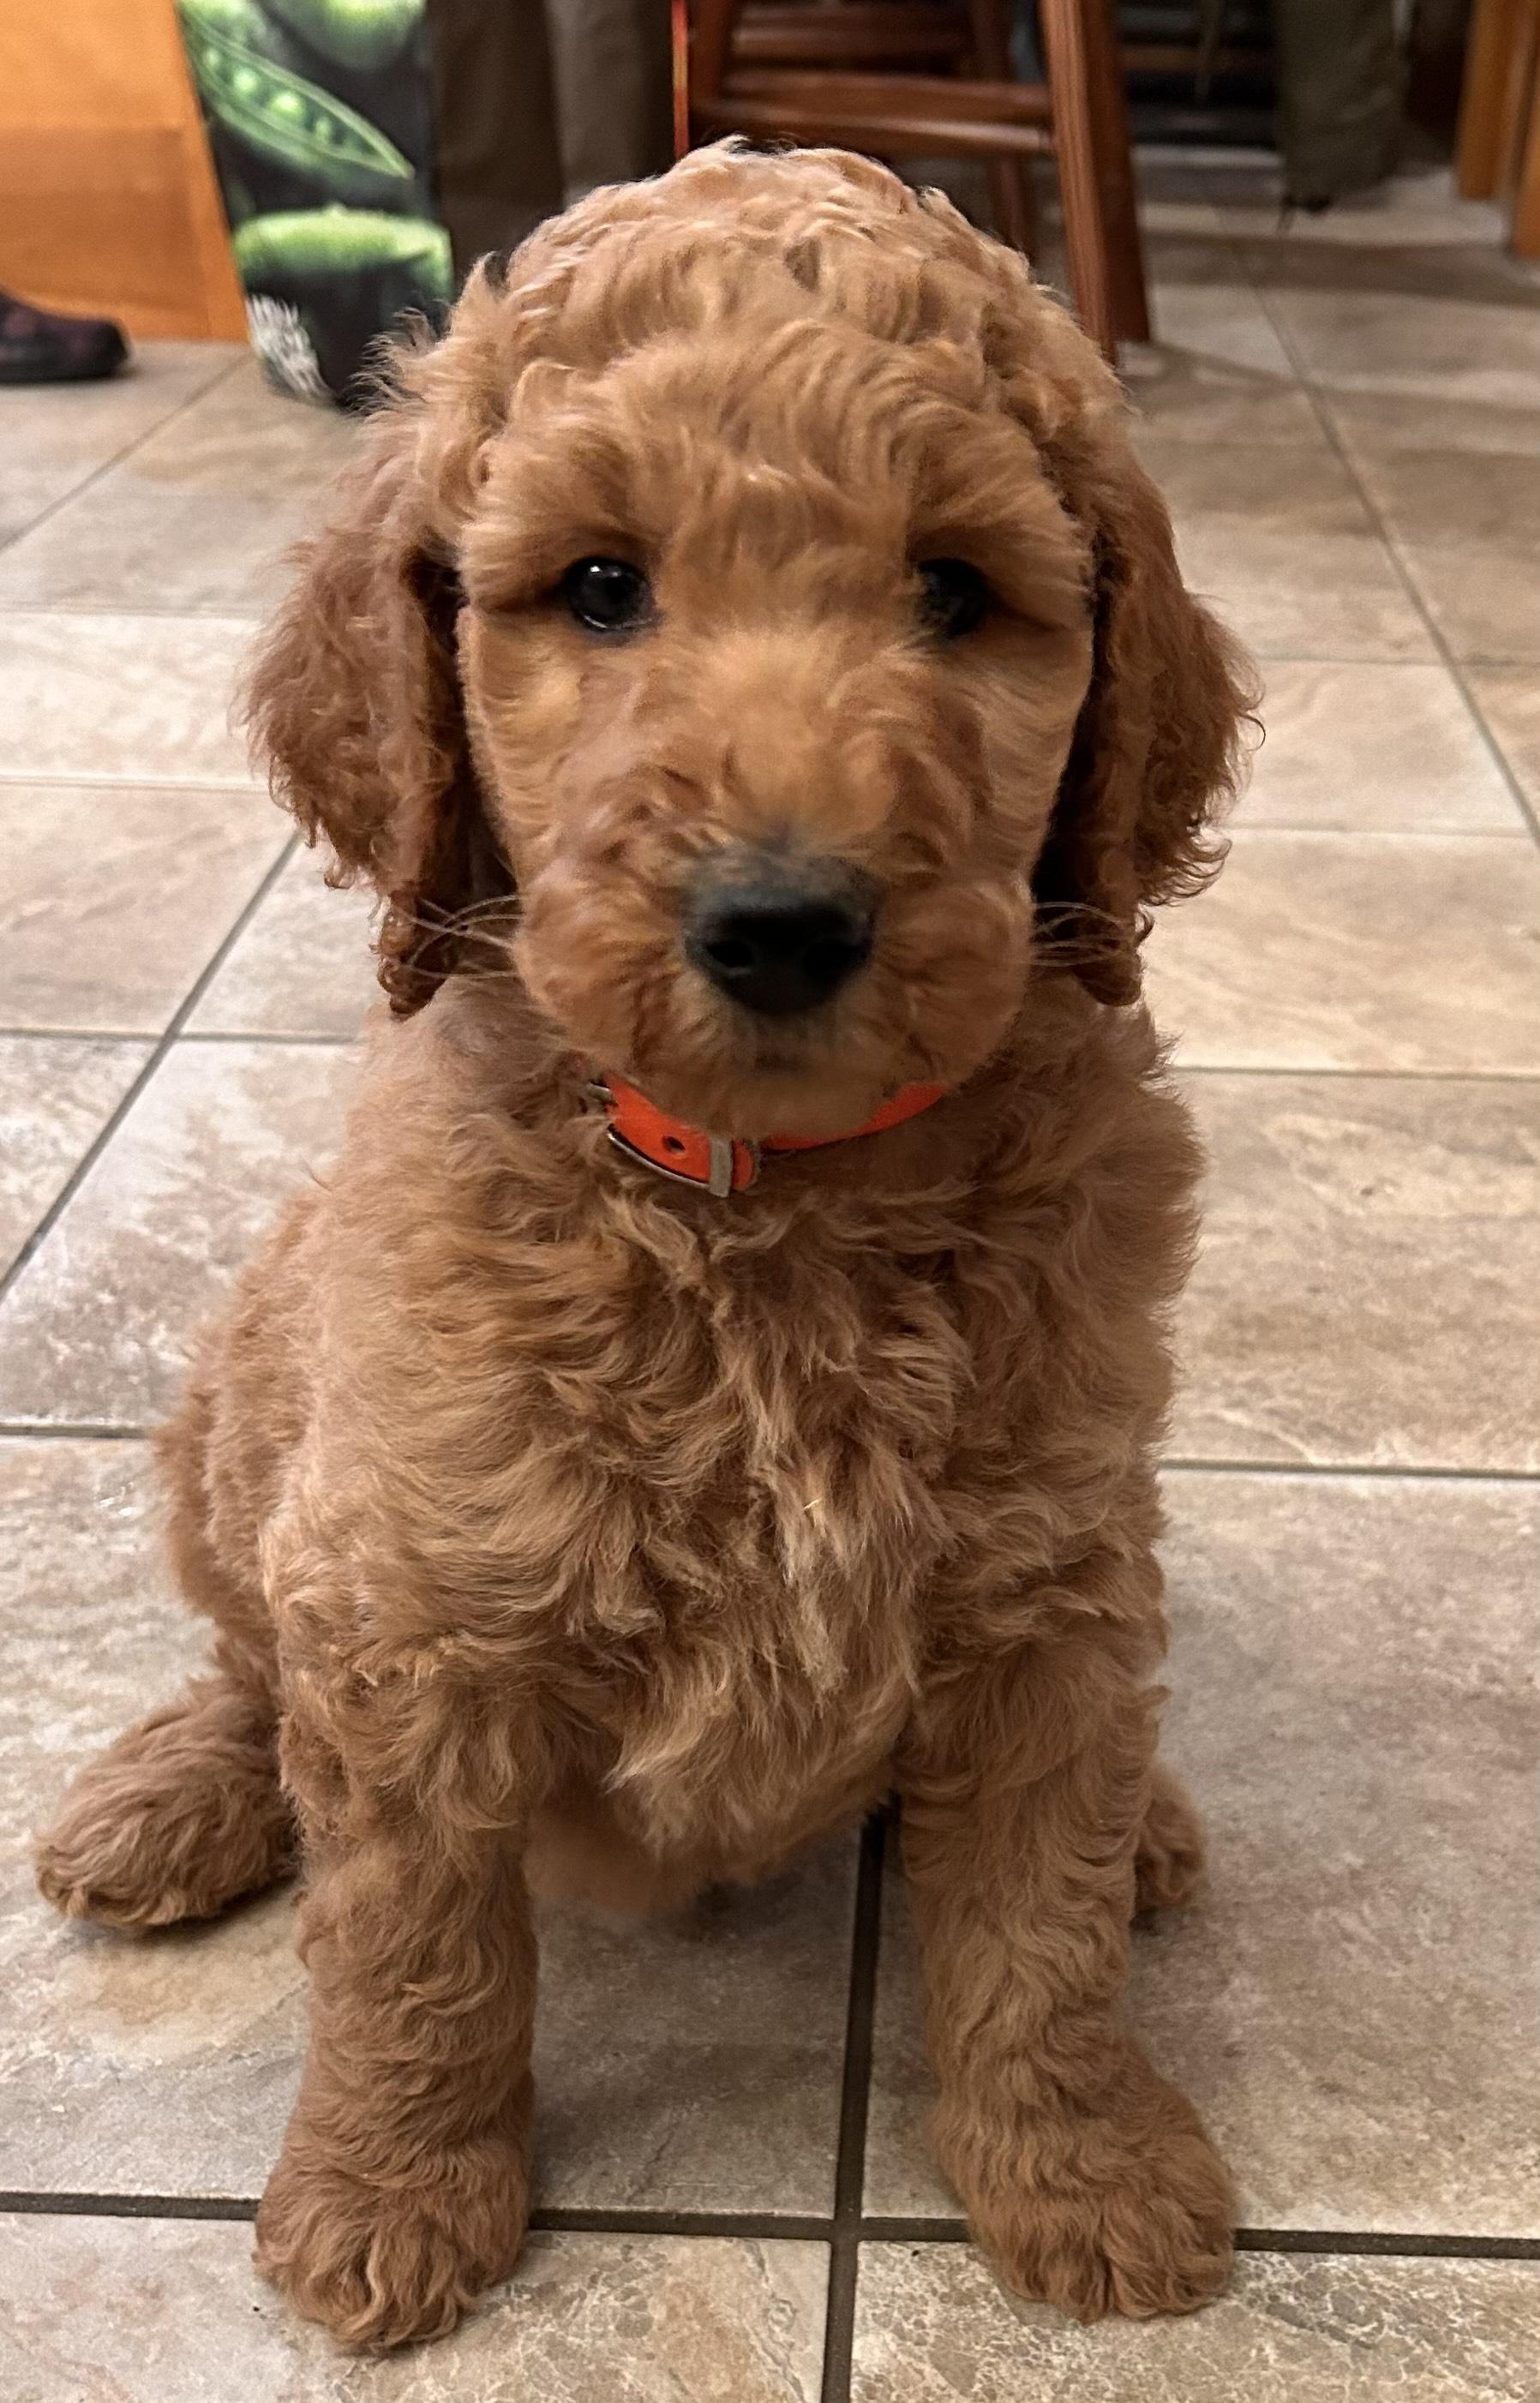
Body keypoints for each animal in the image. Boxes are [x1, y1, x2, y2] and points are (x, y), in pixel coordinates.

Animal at [35, 141, 1255, 2349]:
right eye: (598, 586)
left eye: (955, 591)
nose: (778, 922)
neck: (765, 1202)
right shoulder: (409, 1604)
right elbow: (412, 1943)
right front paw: (390, 2191)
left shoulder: (1050, 1571)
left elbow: (1032, 1914)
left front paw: (1082, 2162)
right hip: (238, 1413)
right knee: (250, 1656)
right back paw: (176, 1794)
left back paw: (1154, 1827)